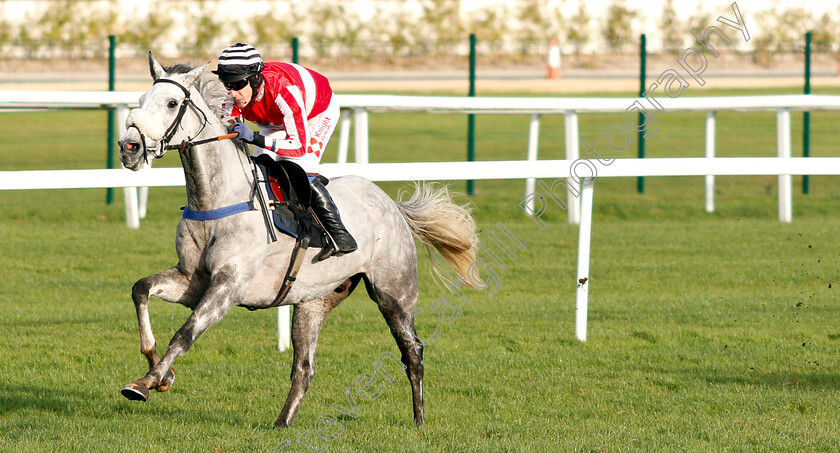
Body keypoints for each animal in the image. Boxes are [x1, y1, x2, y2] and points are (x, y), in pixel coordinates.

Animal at [116, 53, 480, 428]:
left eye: (172, 103)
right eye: (141, 100)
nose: (129, 147)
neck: (217, 199)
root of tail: (392, 204)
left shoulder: (228, 286)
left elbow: (185, 334)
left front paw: (145, 383)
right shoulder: (192, 280)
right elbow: (141, 289)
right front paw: (160, 373)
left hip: (395, 294)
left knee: (413, 351)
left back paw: (419, 420)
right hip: (312, 302)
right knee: (305, 368)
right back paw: (282, 422)